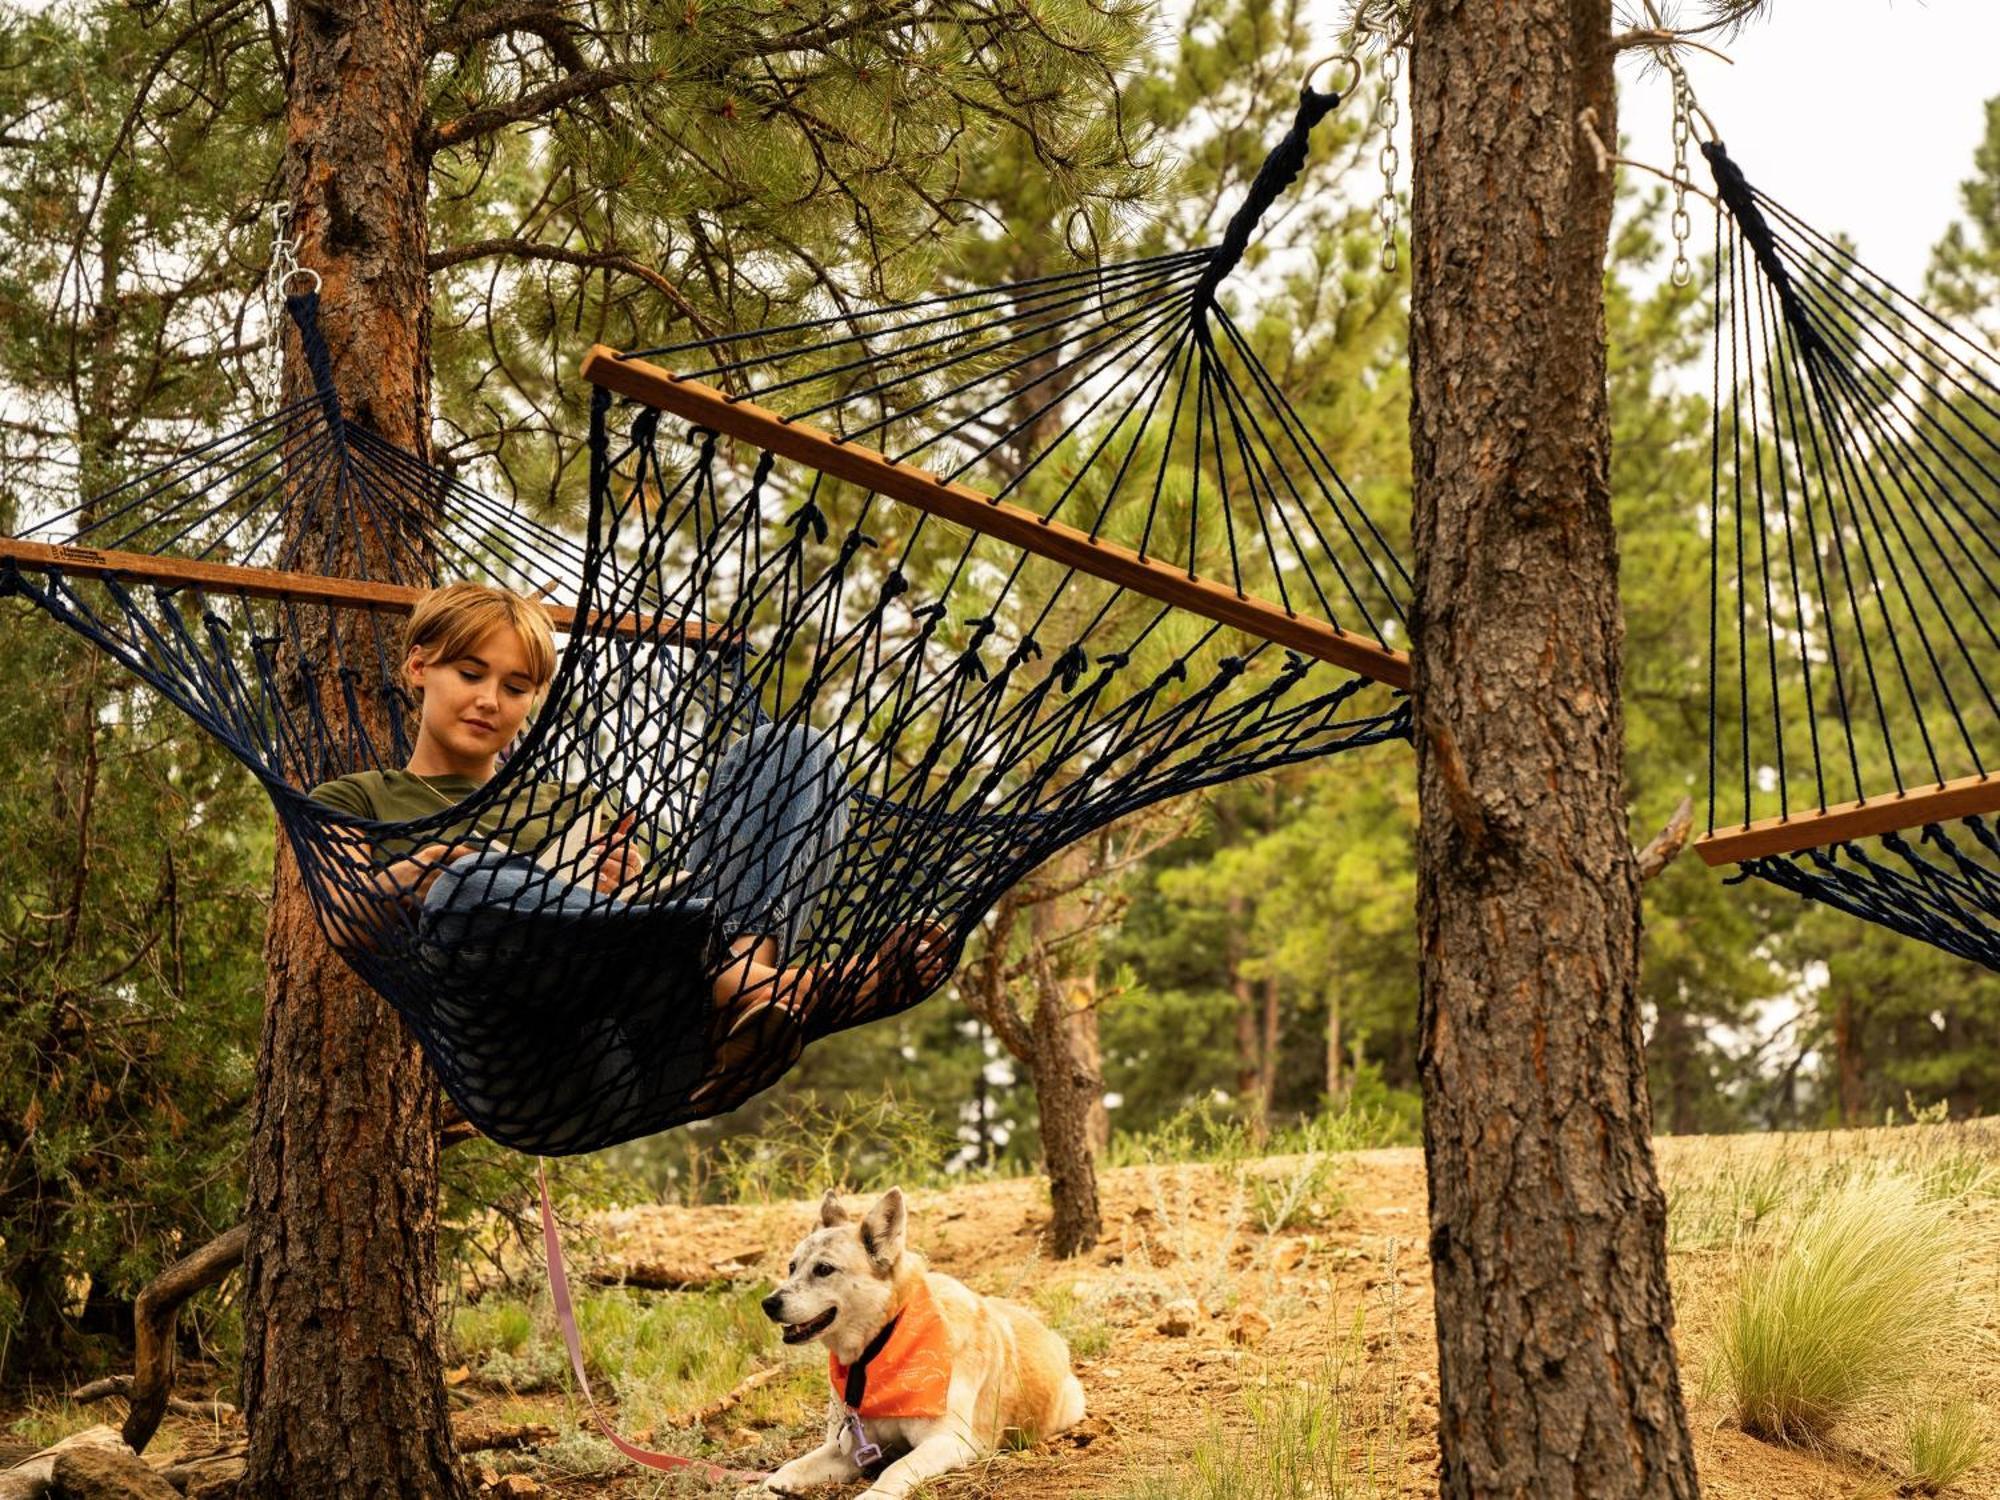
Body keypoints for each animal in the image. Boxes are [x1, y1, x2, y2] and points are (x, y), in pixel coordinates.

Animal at [756, 1192, 1088, 1496]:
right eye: (792, 1267)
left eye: (824, 1269)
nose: (768, 1304)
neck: (882, 1344)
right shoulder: (846, 1449)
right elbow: (794, 1466)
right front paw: (763, 1489)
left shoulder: (948, 1441)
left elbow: (894, 1469)